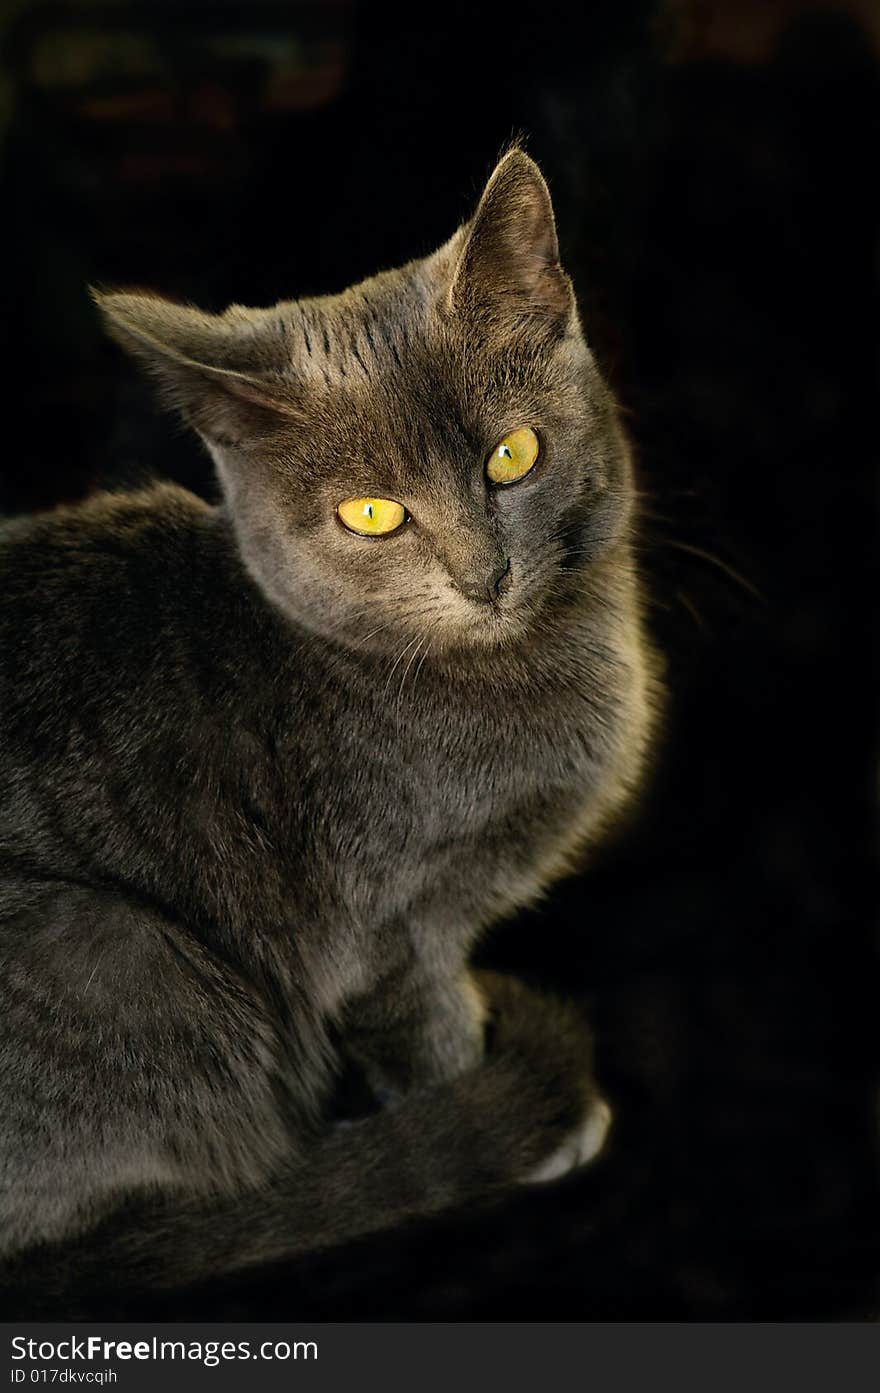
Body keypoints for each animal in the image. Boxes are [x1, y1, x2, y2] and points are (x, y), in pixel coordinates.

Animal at [0, 146, 660, 1298]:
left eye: (512, 455)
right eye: (370, 515)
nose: (483, 576)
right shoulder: (383, 923)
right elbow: (427, 1025)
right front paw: (520, 1123)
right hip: (123, 953)